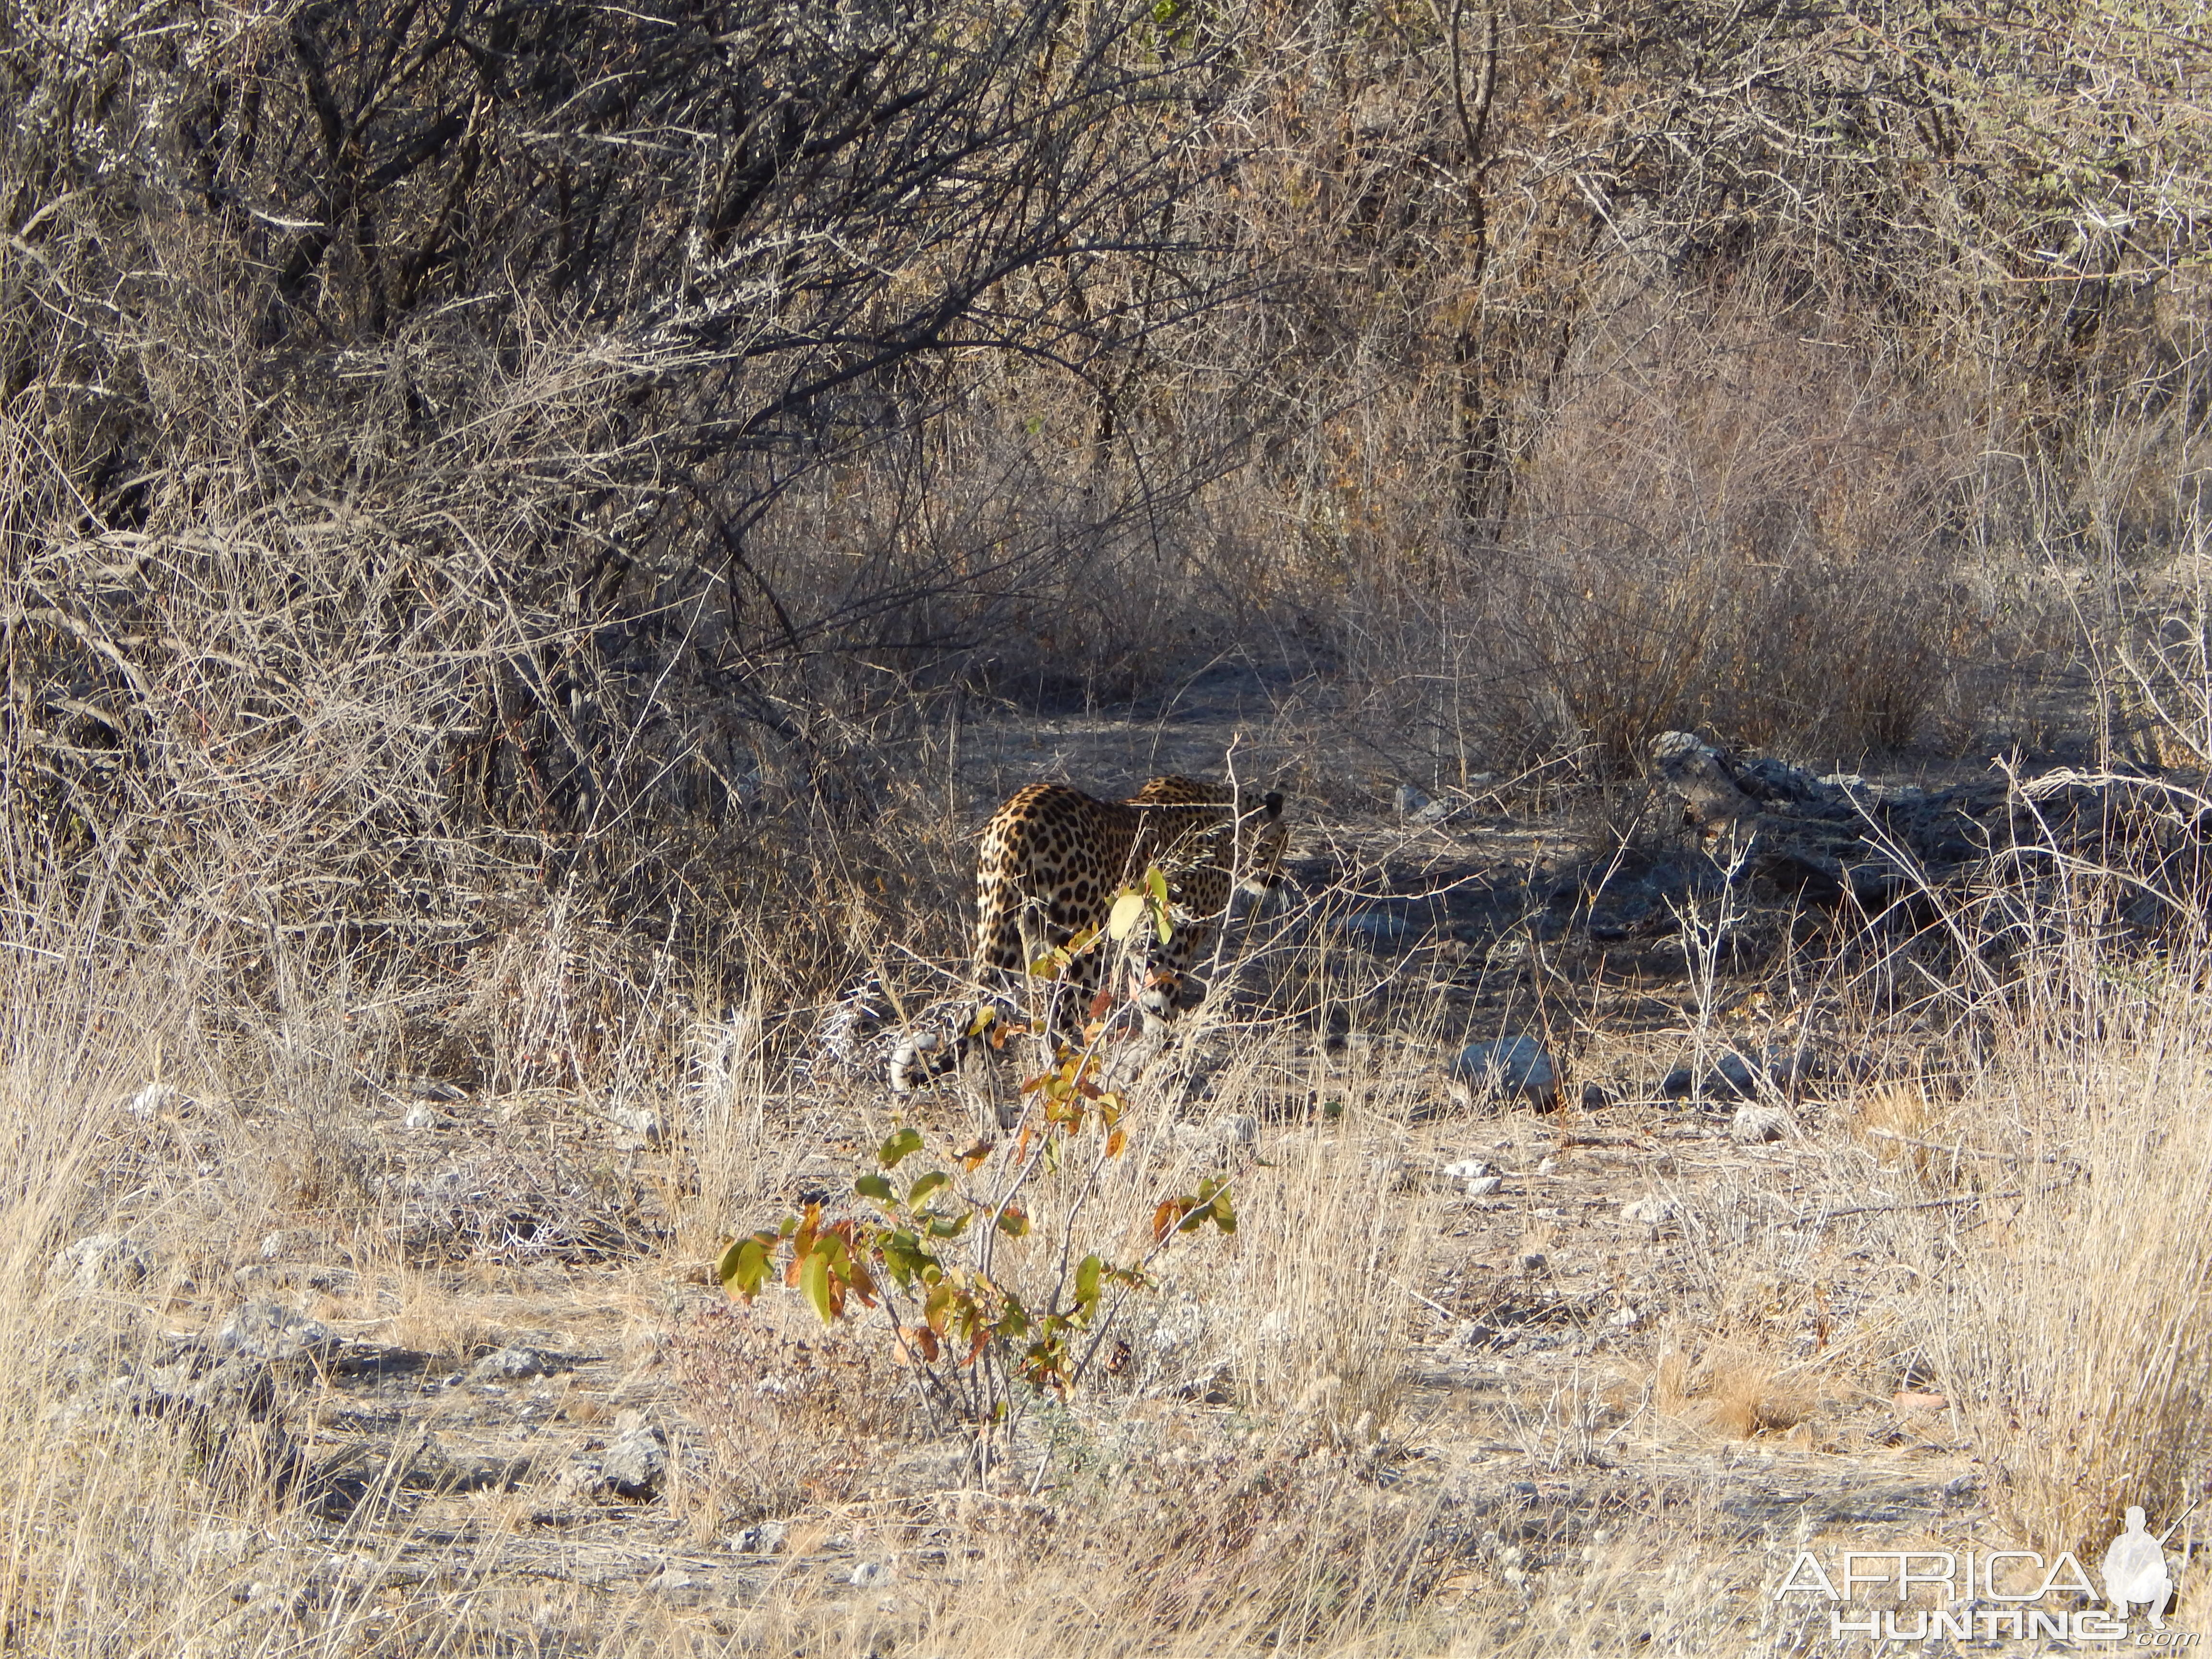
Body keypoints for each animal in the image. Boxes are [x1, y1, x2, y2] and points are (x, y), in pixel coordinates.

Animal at [889, 779, 1292, 1097]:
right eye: (1282, 841)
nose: (1280, 879)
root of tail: (1016, 821)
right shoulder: (1171, 943)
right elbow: (1161, 1015)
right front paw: (1146, 1068)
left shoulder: (1141, 943)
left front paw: (1134, 1067)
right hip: (1081, 948)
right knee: (1058, 1028)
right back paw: (1072, 1087)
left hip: (1004, 934)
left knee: (977, 1018)